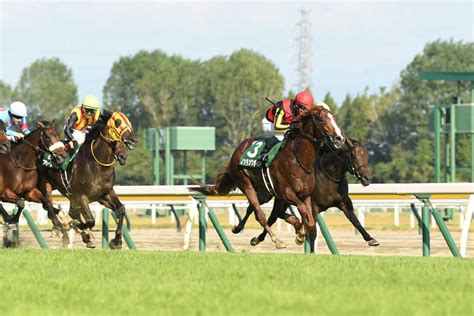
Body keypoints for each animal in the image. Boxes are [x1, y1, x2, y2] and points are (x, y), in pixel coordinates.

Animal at [37, 111, 135, 249]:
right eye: (117, 122)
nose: (132, 140)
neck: (97, 164)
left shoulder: (105, 194)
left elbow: (120, 210)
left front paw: (116, 241)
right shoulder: (81, 196)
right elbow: (89, 220)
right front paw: (73, 224)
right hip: (46, 187)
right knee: (48, 206)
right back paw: (64, 226)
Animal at [189, 106, 344, 252]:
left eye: (335, 118)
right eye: (322, 119)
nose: (339, 138)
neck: (298, 159)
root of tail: (238, 149)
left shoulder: (304, 195)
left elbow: (310, 221)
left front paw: (300, 232)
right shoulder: (286, 193)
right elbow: (302, 211)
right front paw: (299, 233)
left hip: (265, 192)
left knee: (252, 209)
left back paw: (238, 228)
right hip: (245, 183)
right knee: (260, 214)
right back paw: (277, 240)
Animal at [250, 139, 380, 248]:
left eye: (366, 156)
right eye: (353, 156)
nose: (367, 178)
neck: (329, 176)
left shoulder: (343, 202)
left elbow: (355, 221)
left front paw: (371, 239)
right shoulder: (313, 207)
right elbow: (313, 232)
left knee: (277, 214)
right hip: (279, 196)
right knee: (272, 216)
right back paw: (259, 238)